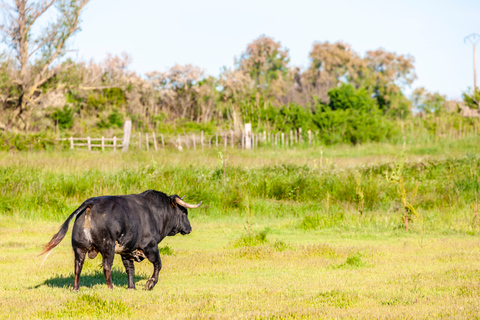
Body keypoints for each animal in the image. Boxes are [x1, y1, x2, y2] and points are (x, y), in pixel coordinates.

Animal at [39, 190, 201, 290]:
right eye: (184, 212)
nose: (189, 228)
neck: (155, 213)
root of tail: (90, 203)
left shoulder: (126, 250)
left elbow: (130, 269)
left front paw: (131, 287)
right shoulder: (150, 246)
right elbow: (158, 264)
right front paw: (150, 284)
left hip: (79, 248)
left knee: (78, 267)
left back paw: (76, 288)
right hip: (108, 247)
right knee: (106, 267)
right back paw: (110, 288)